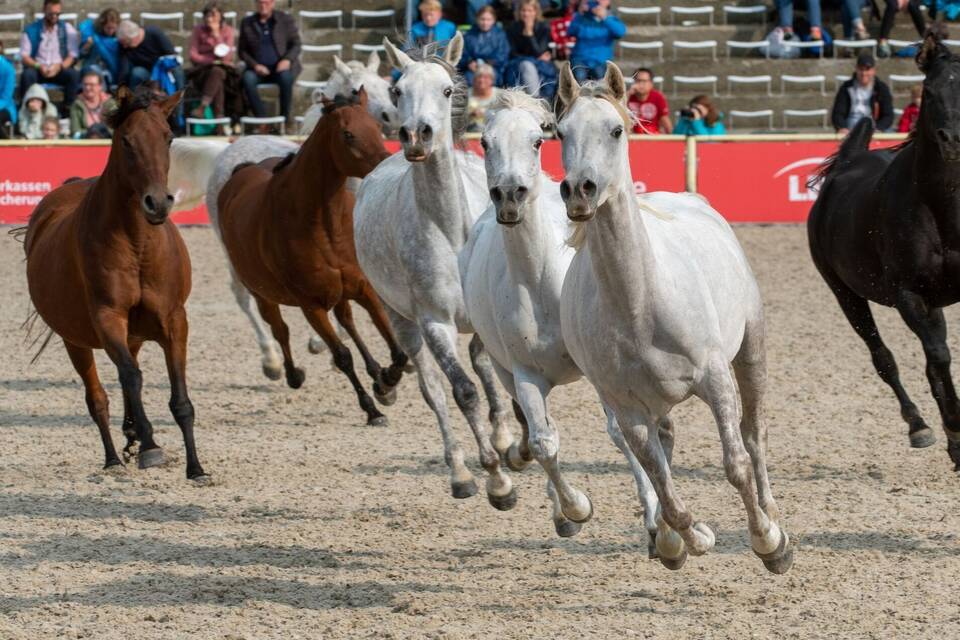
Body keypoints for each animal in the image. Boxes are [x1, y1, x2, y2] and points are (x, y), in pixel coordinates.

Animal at [23, 87, 208, 482]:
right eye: (126, 140)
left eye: (169, 138)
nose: (158, 203)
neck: (137, 243)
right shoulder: (108, 319)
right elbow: (131, 378)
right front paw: (151, 446)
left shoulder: (174, 321)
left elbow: (180, 400)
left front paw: (195, 467)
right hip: (75, 340)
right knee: (99, 397)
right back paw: (114, 457)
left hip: (133, 333)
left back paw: (131, 434)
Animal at [216, 90, 406, 428]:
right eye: (347, 134)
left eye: (376, 126)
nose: (384, 165)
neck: (323, 223)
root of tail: (241, 171)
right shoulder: (311, 305)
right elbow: (342, 356)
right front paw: (372, 409)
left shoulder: (363, 289)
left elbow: (395, 348)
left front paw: (386, 381)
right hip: (262, 294)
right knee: (279, 329)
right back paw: (290, 373)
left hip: (340, 294)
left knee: (348, 321)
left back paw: (376, 373)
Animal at [352, 35, 516, 508]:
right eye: (397, 90)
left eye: (446, 90)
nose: (415, 135)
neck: (451, 231)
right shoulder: (434, 322)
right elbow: (462, 391)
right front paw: (496, 482)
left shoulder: (485, 314)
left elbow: (487, 365)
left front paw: (504, 441)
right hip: (401, 319)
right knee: (434, 390)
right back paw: (460, 473)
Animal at [556, 62, 796, 576]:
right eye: (559, 132)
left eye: (616, 129)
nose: (579, 190)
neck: (638, 304)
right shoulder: (628, 409)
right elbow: (663, 485)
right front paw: (692, 537)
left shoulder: (715, 379)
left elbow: (735, 463)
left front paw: (768, 541)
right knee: (665, 447)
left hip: (752, 353)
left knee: (755, 435)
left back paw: (773, 517)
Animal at [808, 32, 960, 472]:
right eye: (929, 90)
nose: (953, 140)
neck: (941, 208)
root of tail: (848, 163)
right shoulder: (908, 296)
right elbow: (936, 358)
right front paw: (954, 430)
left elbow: (938, 360)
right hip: (847, 296)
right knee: (886, 359)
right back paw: (920, 426)